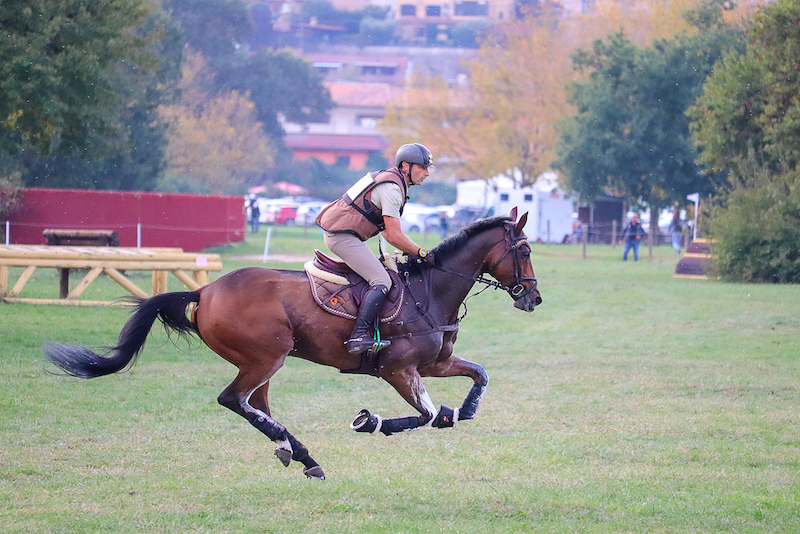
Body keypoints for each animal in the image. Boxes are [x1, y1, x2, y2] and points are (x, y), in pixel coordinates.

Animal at [45, 209, 544, 482]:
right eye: (523, 249)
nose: (534, 298)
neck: (431, 291)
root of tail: (205, 291)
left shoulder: (435, 364)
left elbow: (477, 376)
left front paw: (467, 409)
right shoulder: (398, 370)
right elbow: (427, 415)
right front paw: (370, 422)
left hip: (262, 361)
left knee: (254, 404)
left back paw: (297, 452)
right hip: (267, 356)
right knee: (234, 399)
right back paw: (300, 452)